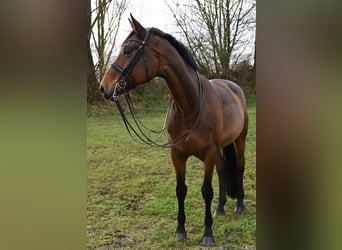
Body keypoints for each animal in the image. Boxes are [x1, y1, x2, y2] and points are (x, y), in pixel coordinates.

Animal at [99, 14, 248, 246]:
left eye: (128, 51)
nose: (104, 87)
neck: (191, 105)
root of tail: (234, 88)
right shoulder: (176, 154)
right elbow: (181, 190)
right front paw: (180, 230)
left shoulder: (208, 154)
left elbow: (206, 191)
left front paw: (207, 233)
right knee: (223, 170)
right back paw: (220, 208)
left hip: (239, 140)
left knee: (239, 166)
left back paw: (239, 204)